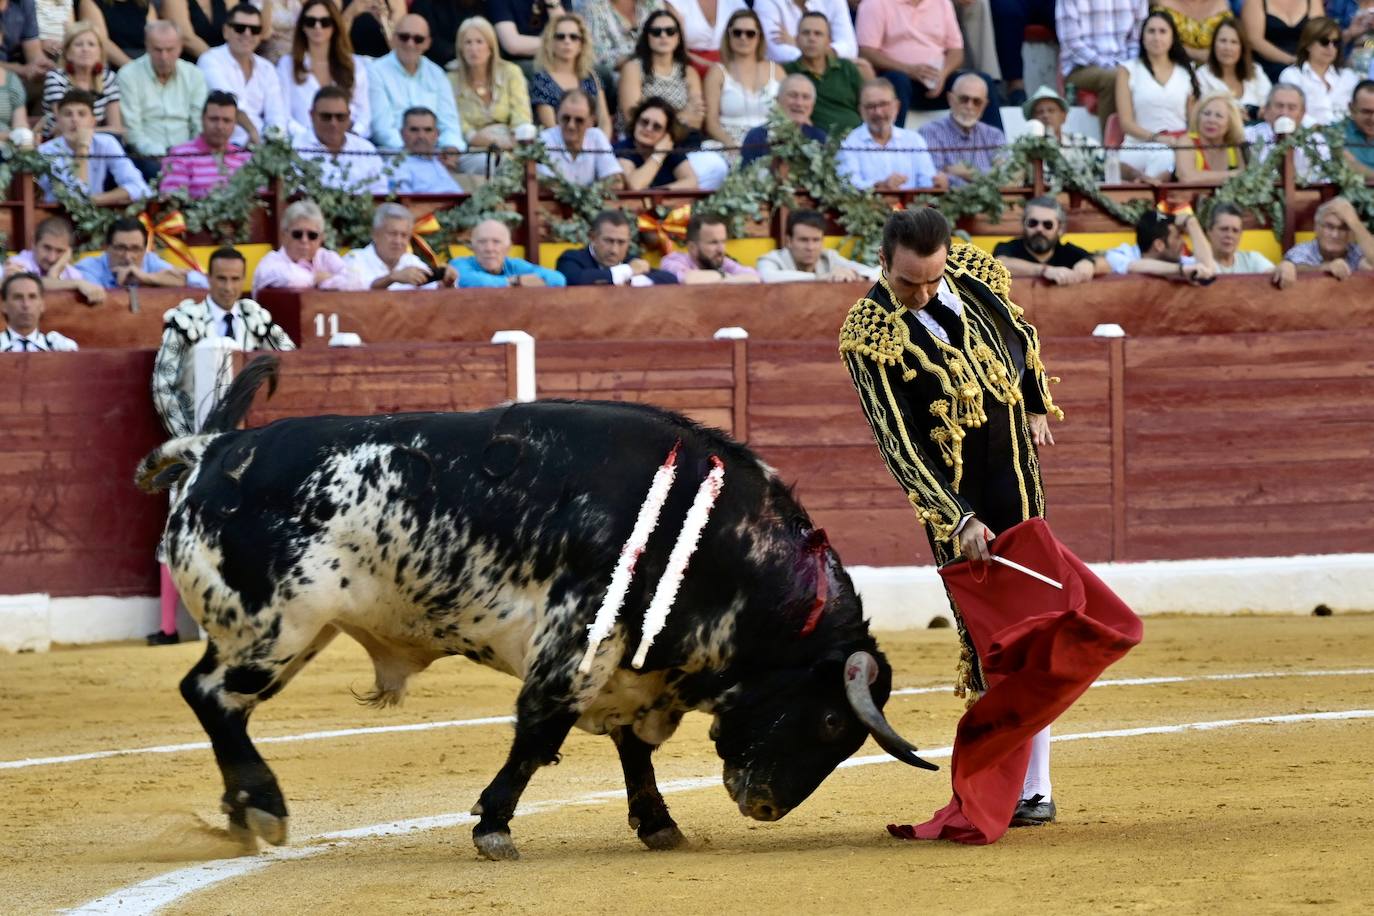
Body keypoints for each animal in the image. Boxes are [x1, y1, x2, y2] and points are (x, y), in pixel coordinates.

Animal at [136, 357, 934, 862]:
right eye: (830, 722)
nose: (763, 805)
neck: (717, 542)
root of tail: (212, 448)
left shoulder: (632, 670)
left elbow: (632, 749)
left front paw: (658, 824)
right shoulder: (576, 644)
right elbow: (537, 735)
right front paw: (494, 827)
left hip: (286, 634)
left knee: (210, 696)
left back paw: (242, 813)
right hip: (274, 629)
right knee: (212, 697)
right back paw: (263, 805)